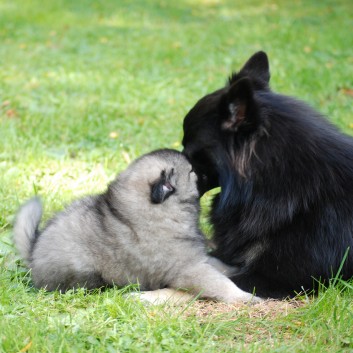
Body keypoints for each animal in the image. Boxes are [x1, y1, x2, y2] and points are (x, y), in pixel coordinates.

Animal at [13, 148, 258, 302]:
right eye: (191, 171)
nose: (210, 172)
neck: (157, 211)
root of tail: (33, 253)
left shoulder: (197, 258)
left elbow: (218, 265)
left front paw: (235, 268)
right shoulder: (189, 268)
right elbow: (219, 283)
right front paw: (246, 297)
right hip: (84, 272)